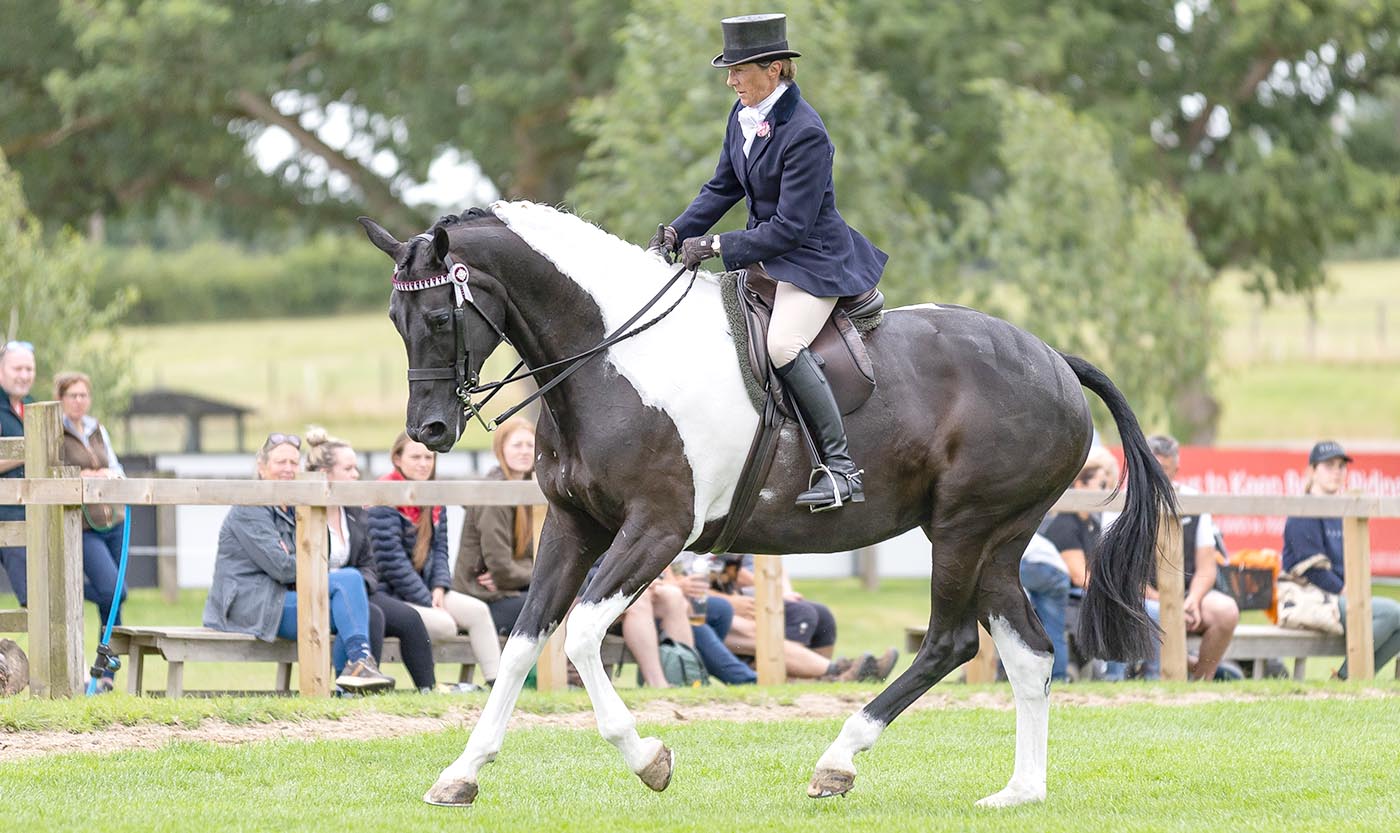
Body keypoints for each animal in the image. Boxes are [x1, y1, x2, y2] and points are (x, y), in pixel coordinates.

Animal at [358, 200, 1174, 809]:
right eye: (396, 322)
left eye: (440, 319)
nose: (429, 431)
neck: (613, 355)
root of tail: (1054, 359)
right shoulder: (573, 527)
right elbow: (524, 644)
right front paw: (461, 774)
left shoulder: (658, 528)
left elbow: (584, 634)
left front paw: (649, 758)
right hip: (999, 539)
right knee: (1028, 653)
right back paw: (1019, 792)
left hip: (964, 527)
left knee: (950, 642)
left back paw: (838, 760)